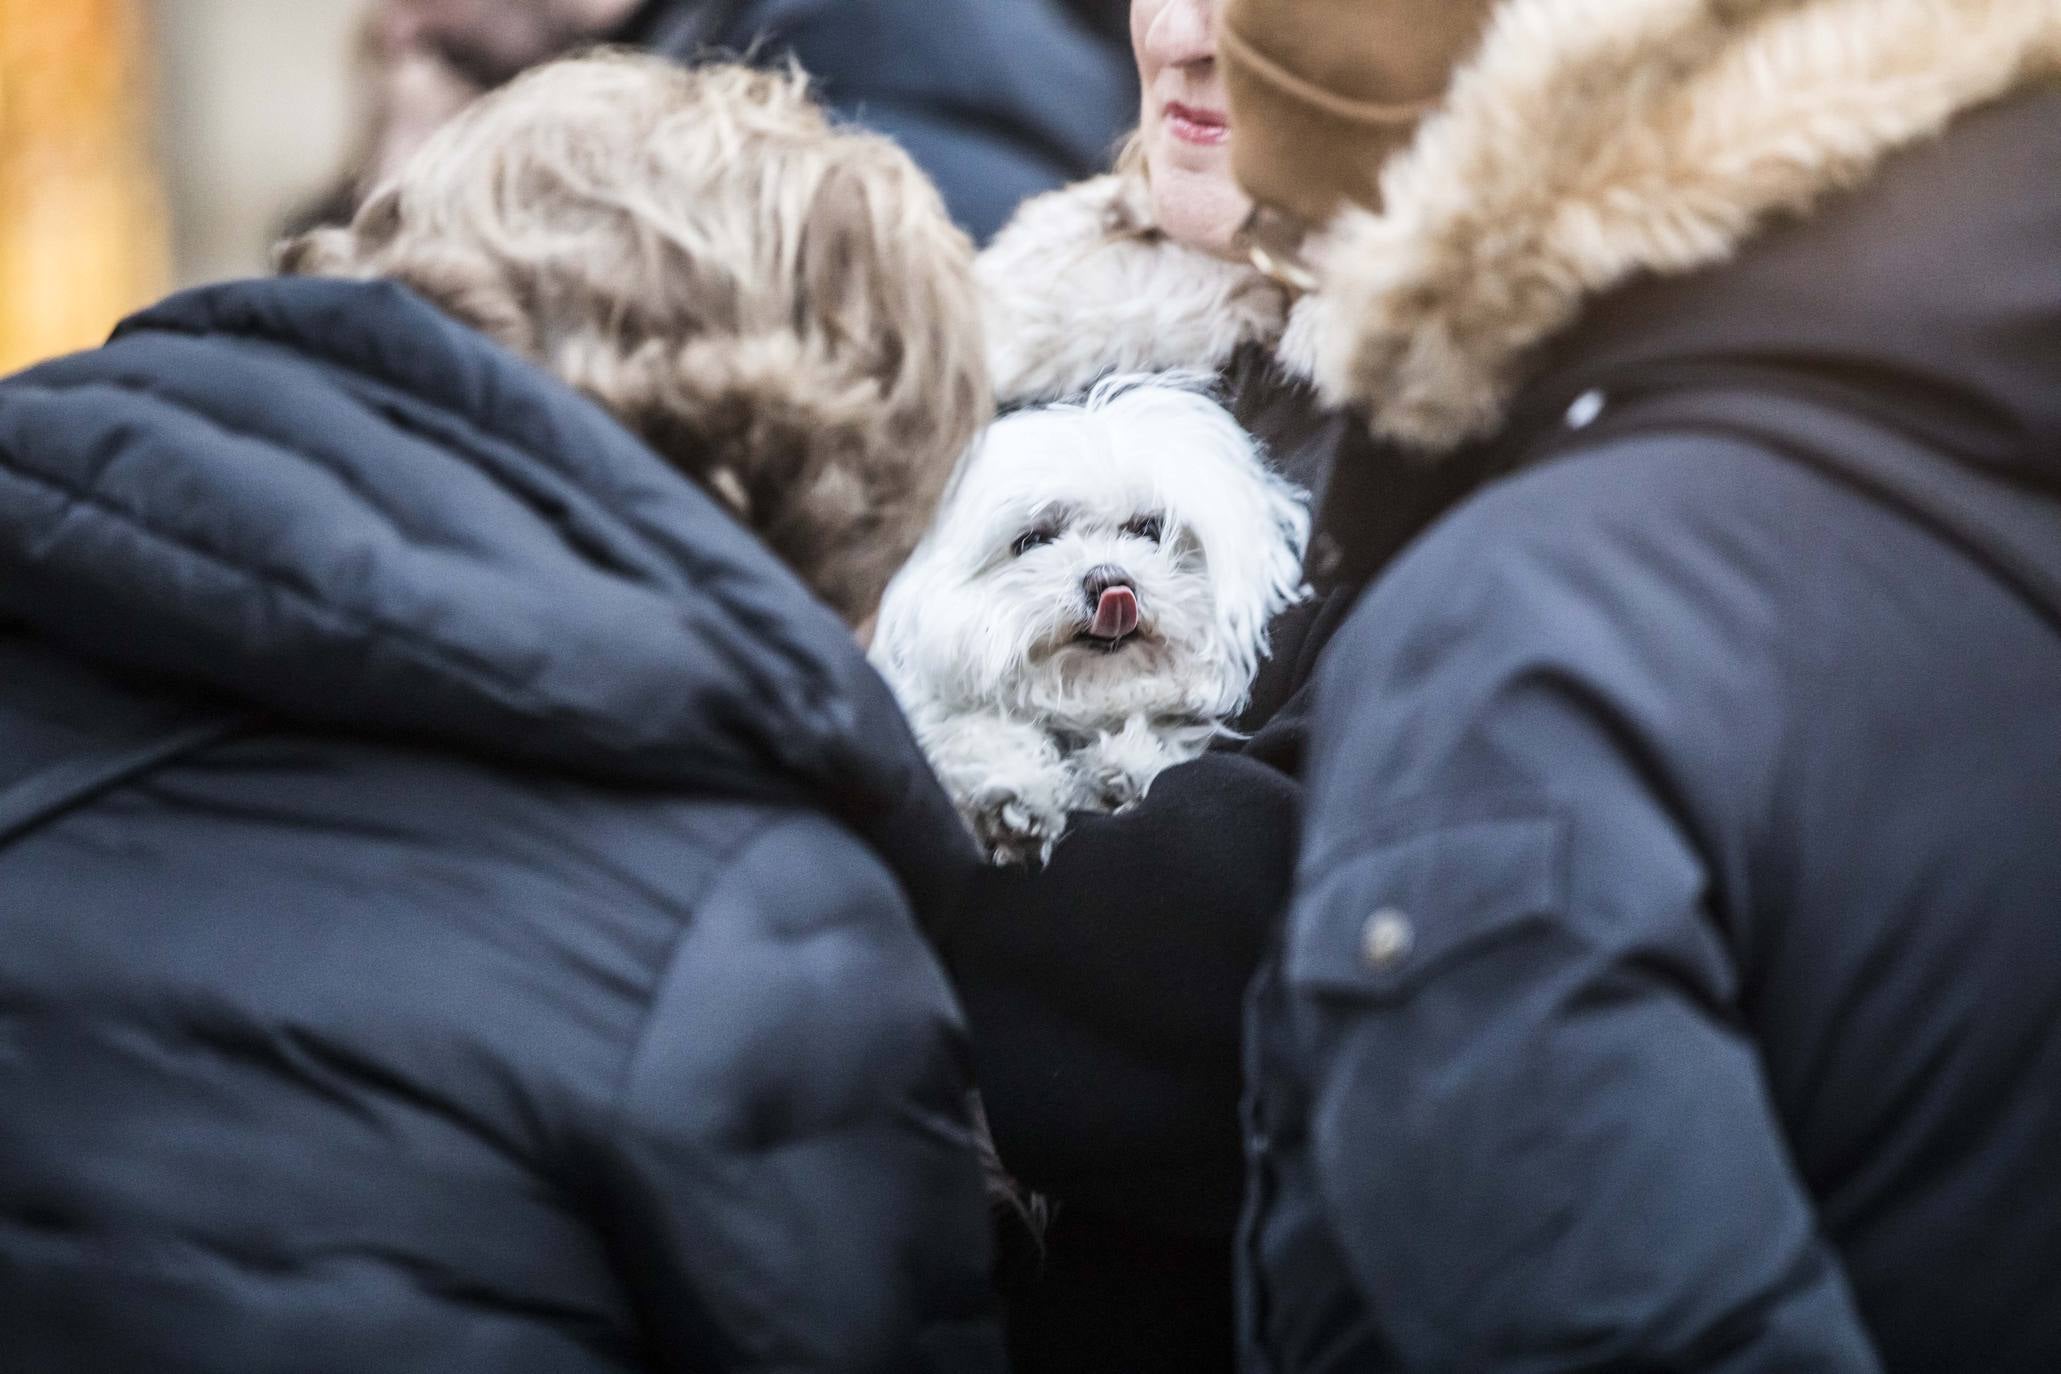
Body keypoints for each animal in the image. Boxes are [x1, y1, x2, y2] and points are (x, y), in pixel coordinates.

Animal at [869, 376, 1302, 865]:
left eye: (1149, 530)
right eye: (1033, 540)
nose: (1110, 581)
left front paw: (1127, 764)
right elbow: (971, 734)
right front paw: (1013, 792)